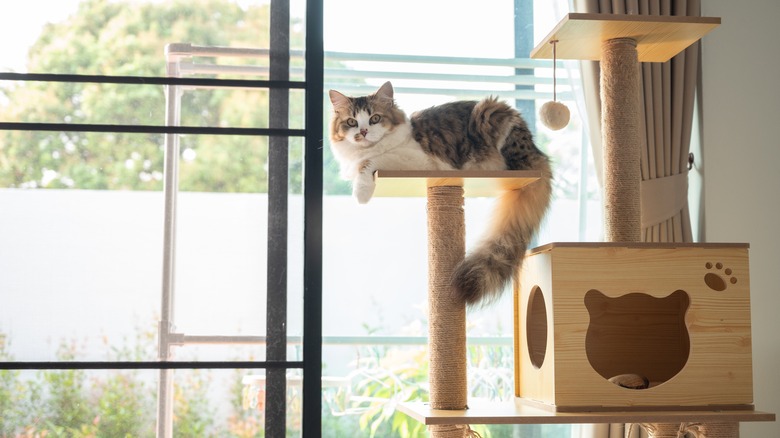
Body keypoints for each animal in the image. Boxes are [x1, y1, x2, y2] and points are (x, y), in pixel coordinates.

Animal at [330, 83, 556, 308]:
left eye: (375, 118)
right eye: (351, 122)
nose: (363, 132)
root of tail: (539, 154)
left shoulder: (416, 160)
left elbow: (369, 162)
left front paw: (361, 193)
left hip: (490, 113)